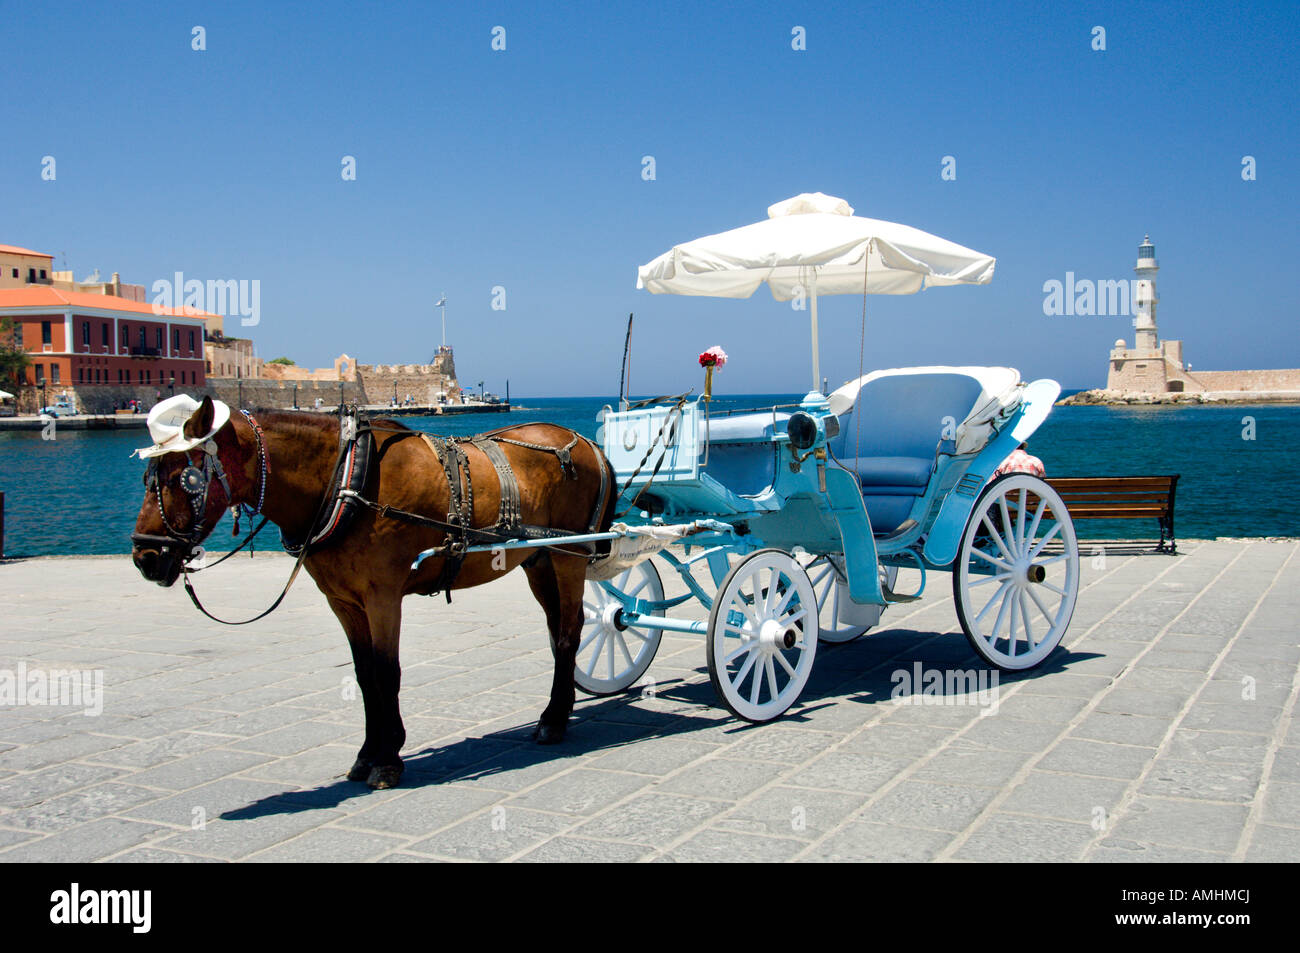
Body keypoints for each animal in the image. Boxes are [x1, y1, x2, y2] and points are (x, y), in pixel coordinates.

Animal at [131, 395, 613, 790]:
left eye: (186, 478)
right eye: (148, 476)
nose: (145, 557)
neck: (347, 479)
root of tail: (586, 443)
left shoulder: (383, 596)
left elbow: (386, 672)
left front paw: (388, 758)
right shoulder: (344, 601)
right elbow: (364, 675)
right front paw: (366, 754)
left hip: (570, 555)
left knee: (569, 633)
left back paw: (554, 720)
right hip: (540, 560)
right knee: (559, 629)